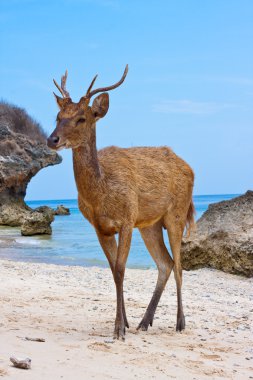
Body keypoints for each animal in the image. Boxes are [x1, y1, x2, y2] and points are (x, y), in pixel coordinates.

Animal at [46, 66, 195, 342]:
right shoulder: (100, 227)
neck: (101, 194)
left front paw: (118, 329)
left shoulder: (126, 219)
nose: (52, 139)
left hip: (177, 213)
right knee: (165, 263)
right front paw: (123, 323)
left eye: (82, 118)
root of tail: (190, 168)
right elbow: (113, 271)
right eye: (58, 116)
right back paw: (144, 322)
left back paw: (180, 323)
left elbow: (121, 269)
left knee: (179, 265)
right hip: (149, 224)